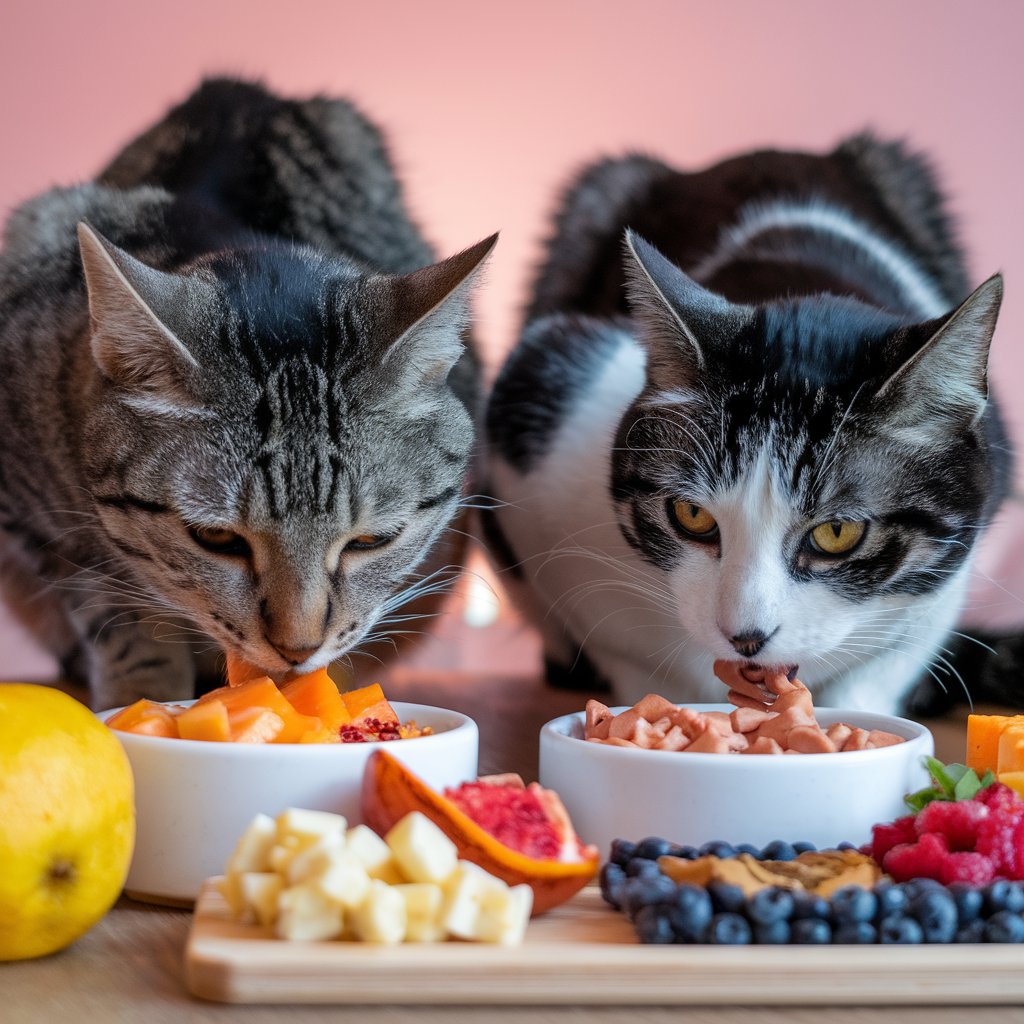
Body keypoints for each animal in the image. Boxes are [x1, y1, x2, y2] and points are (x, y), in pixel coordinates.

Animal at [0, 79, 495, 708]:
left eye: (371, 540)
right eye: (215, 538)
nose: (298, 648)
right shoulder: (47, 531)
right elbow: (118, 613)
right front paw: (141, 700)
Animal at [483, 134, 1011, 712]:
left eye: (838, 532)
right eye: (691, 514)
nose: (746, 637)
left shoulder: (954, 556)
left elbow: (887, 659)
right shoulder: (543, 399)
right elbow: (624, 646)